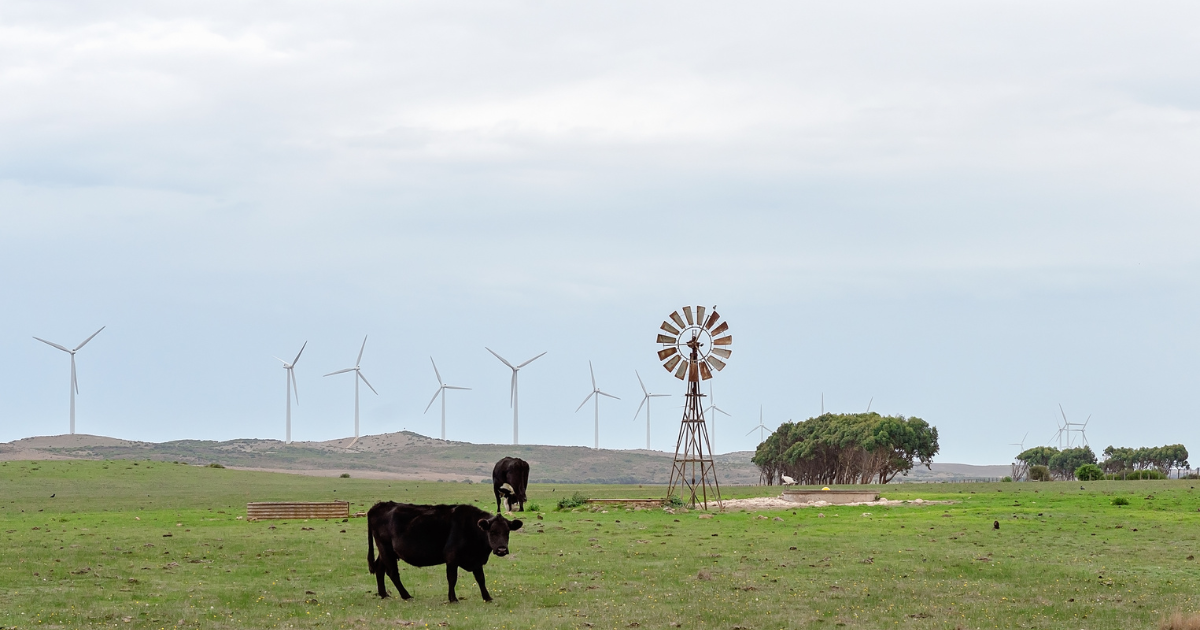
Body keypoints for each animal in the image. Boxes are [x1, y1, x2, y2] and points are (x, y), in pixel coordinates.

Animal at [362, 501, 518, 600]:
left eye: (507, 532)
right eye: (492, 532)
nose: (502, 549)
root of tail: (379, 505)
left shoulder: (476, 560)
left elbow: (480, 578)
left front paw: (487, 597)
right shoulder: (451, 557)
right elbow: (452, 578)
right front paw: (453, 598)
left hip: (386, 552)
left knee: (380, 569)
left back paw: (384, 594)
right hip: (386, 548)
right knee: (392, 572)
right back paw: (406, 595)